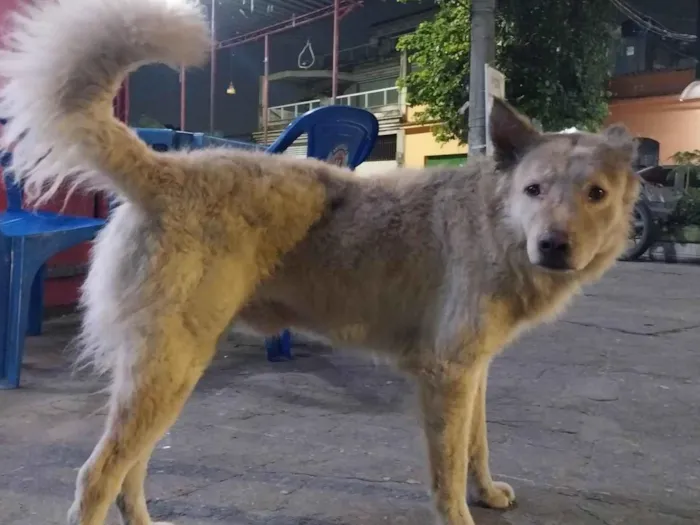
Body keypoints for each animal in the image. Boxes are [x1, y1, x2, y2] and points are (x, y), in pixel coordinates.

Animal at [0, 1, 640, 524]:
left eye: (595, 194)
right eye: (535, 190)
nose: (553, 245)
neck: (493, 222)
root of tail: (165, 169)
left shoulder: (473, 369)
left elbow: (476, 448)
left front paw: (486, 491)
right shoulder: (447, 376)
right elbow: (448, 473)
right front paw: (463, 511)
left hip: (165, 373)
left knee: (129, 471)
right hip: (170, 367)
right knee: (98, 476)